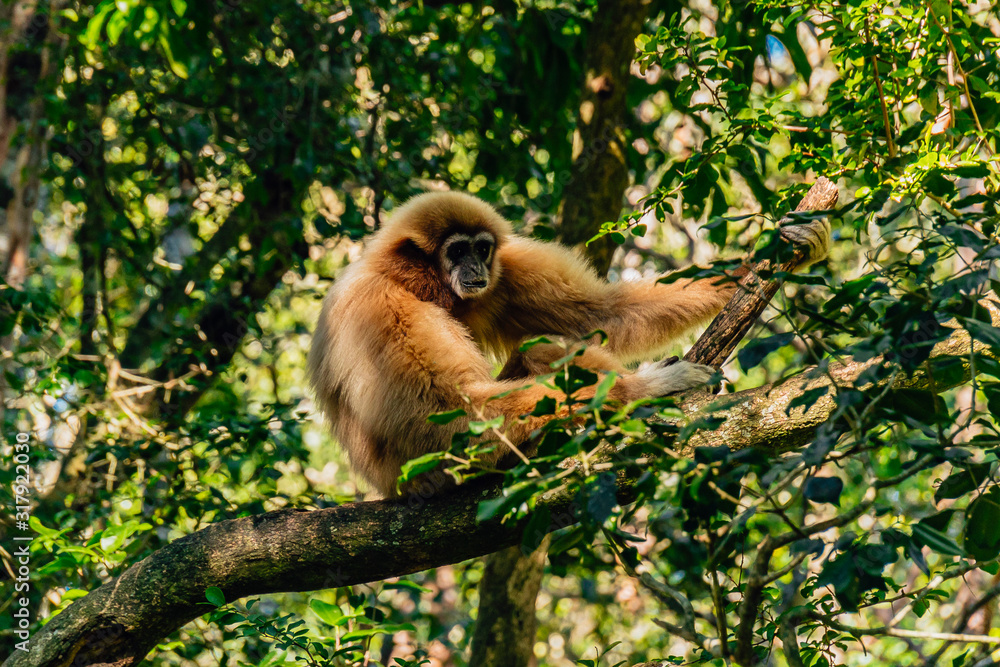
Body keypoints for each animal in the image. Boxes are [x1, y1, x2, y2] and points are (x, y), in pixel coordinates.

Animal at [308, 191, 830, 498]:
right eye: (456, 251)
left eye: (482, 248)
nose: (474, 268)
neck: (415, 283)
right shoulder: (383, 311)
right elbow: (446, 419)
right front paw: (643, 390)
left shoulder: (505, 272)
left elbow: (598, 314)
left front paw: (767, 254)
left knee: (543, 345)